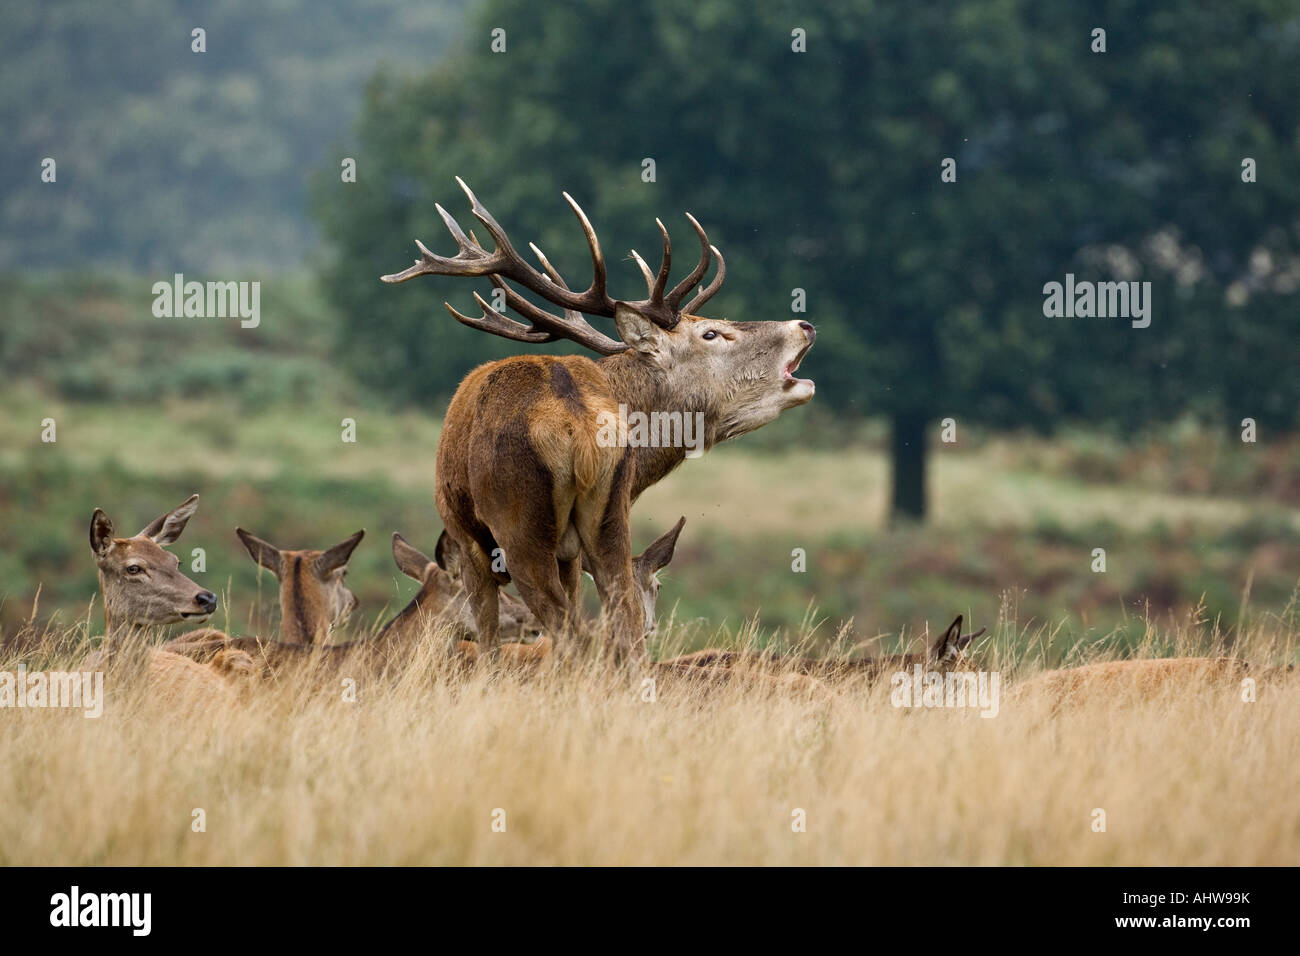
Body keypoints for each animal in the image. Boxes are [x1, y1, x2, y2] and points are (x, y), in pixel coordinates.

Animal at [382, 178, 816, 665]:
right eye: (711, 333)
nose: (804, 325)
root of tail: (578, 426)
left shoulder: (466, 537)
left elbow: (490, 639)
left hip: (520, 530)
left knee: (569, 630)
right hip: (607, 521)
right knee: (622, 624)